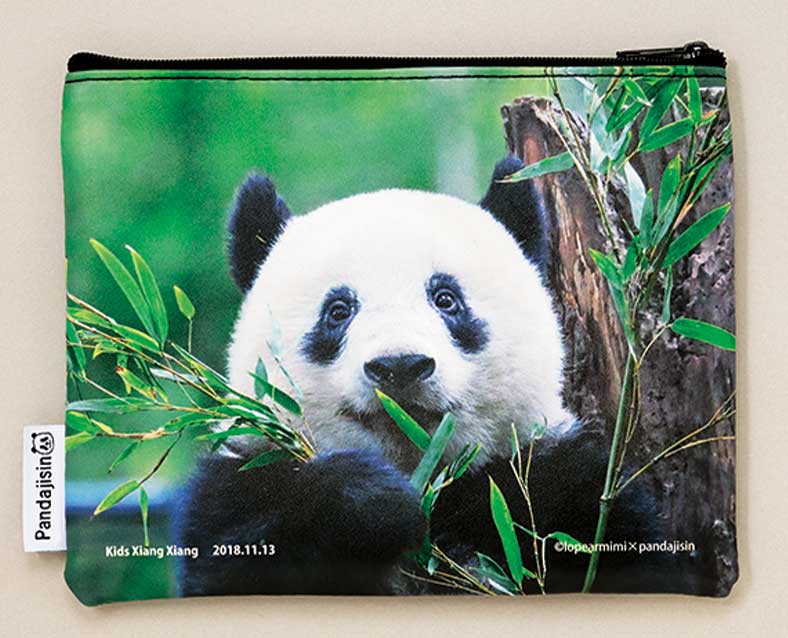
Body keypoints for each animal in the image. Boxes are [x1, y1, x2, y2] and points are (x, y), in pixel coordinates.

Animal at [175, 157, 689, 596]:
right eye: (338, 311)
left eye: (446, 299)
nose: (400, 366)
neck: (425, 474)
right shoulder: (242, 482)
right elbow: (239, 564)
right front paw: (367, 501)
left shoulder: (558, 484)